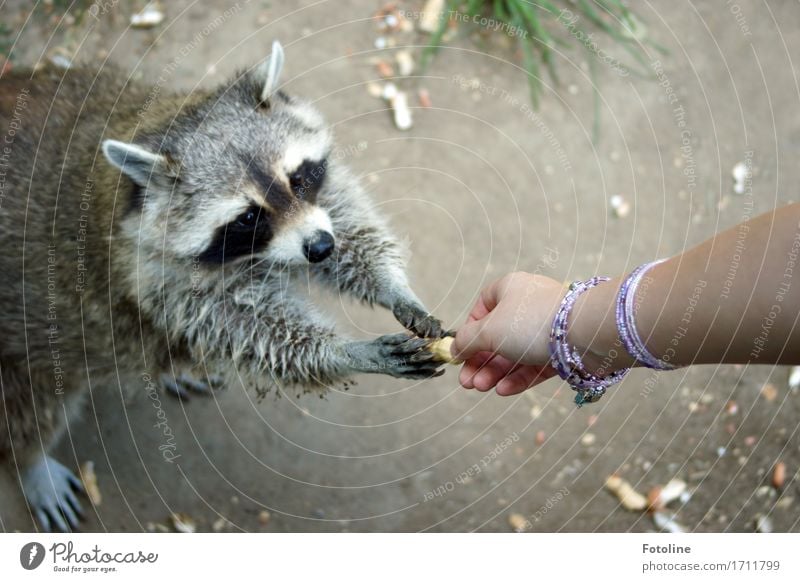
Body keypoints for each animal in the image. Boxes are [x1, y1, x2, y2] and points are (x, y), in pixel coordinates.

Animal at [0, 41, 450, 532]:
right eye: (249, 216)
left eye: (298, 178)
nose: (319, 248)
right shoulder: (155, 272)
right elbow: (244, 328)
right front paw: (346, 352)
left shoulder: (319, 203)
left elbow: (349, 224)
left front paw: (393, 286)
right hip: (24, 355)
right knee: (29, 409)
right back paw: (30, 464)